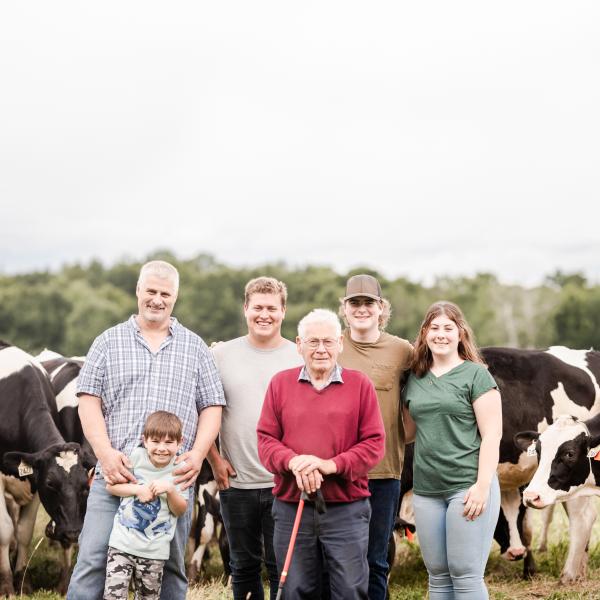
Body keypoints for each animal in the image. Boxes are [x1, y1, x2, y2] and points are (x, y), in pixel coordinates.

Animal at [0, 342, 93, 596]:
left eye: (85, 486)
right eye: (51, 483)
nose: (71, 530)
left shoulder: (33, 479)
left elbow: (23, 532)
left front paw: (24, 582)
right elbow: (5, 529)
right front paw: (7, 586)